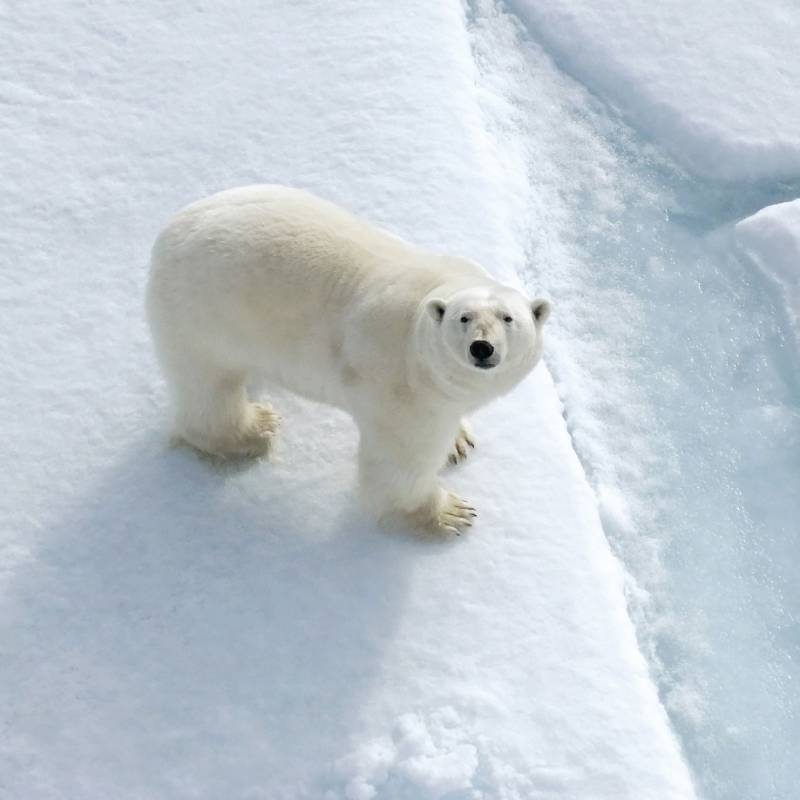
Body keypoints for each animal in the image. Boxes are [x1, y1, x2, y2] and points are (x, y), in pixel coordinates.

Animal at [146, 185, 550, 533]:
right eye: (462, 318)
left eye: (507, 318)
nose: (482, 348)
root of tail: (167, 235)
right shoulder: (400, 388)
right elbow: (399, 464)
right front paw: (449, 513)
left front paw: (458, 441)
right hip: (204, 316)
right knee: (208, 389)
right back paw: (256, 428)